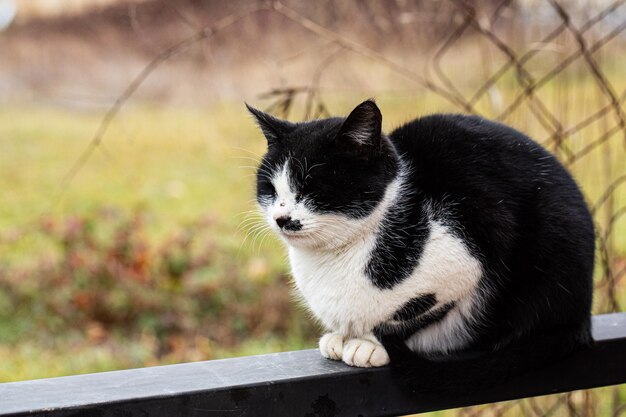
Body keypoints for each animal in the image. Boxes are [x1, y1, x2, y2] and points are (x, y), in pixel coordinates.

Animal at [246, 99, 592, 388]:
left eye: (312, 187)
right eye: (270, 189)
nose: (281, 218)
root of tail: (582, 317)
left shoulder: (472, 250)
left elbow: (408, 316)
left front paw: (368, 344)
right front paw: (341, 336)